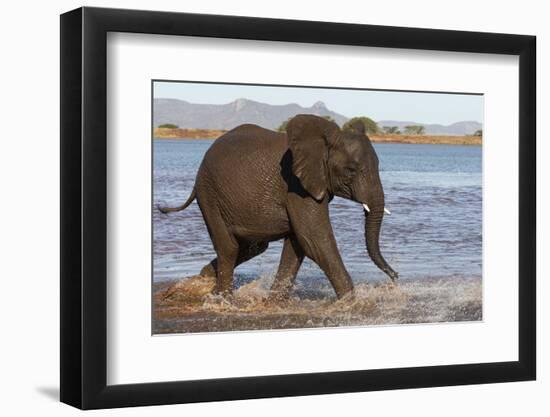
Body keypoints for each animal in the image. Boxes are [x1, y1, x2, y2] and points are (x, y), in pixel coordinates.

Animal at [157, 114, 398, 300]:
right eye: (351, 170)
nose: (395, 278)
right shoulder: (295, 185)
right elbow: (315, 240)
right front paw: (352, 302)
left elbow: (298, 243)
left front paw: (274, 302)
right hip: (209, 193)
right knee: (229, 247)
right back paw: (221, 298)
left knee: (253, 247)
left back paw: (202, 279)